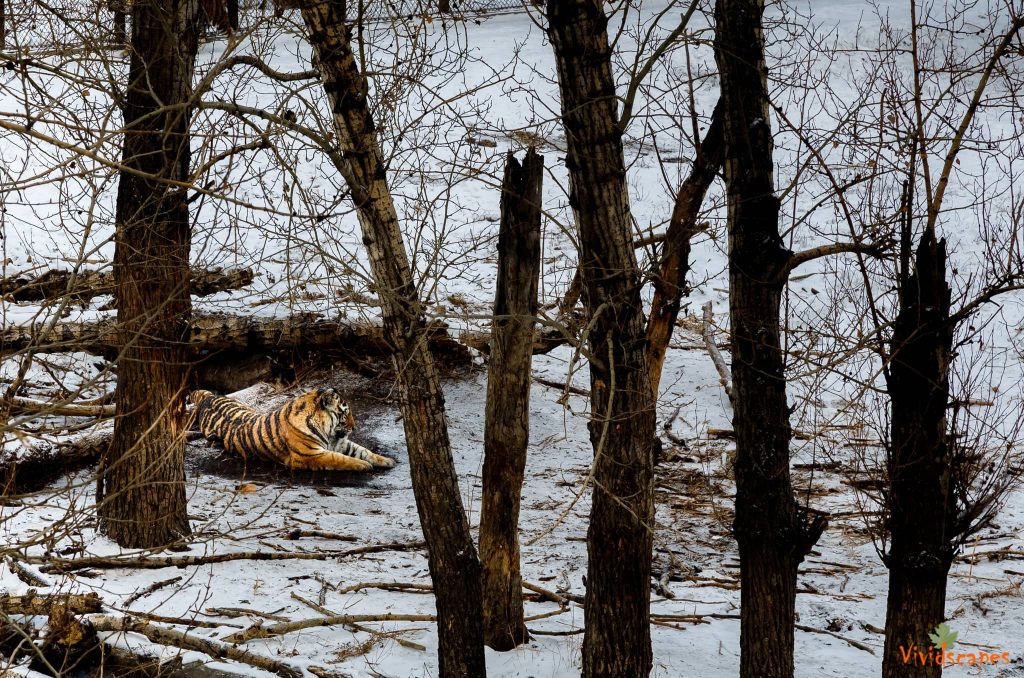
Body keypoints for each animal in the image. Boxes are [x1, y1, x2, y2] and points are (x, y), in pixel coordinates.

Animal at [190, 387, 397, 473]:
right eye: (345, 413)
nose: (354, 427)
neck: (329, 433)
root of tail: (209, 397)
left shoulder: (339, 443)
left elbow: (364, 450)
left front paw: (386, 460)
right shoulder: (311, 455)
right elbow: (340, 459)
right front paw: (363, 465)